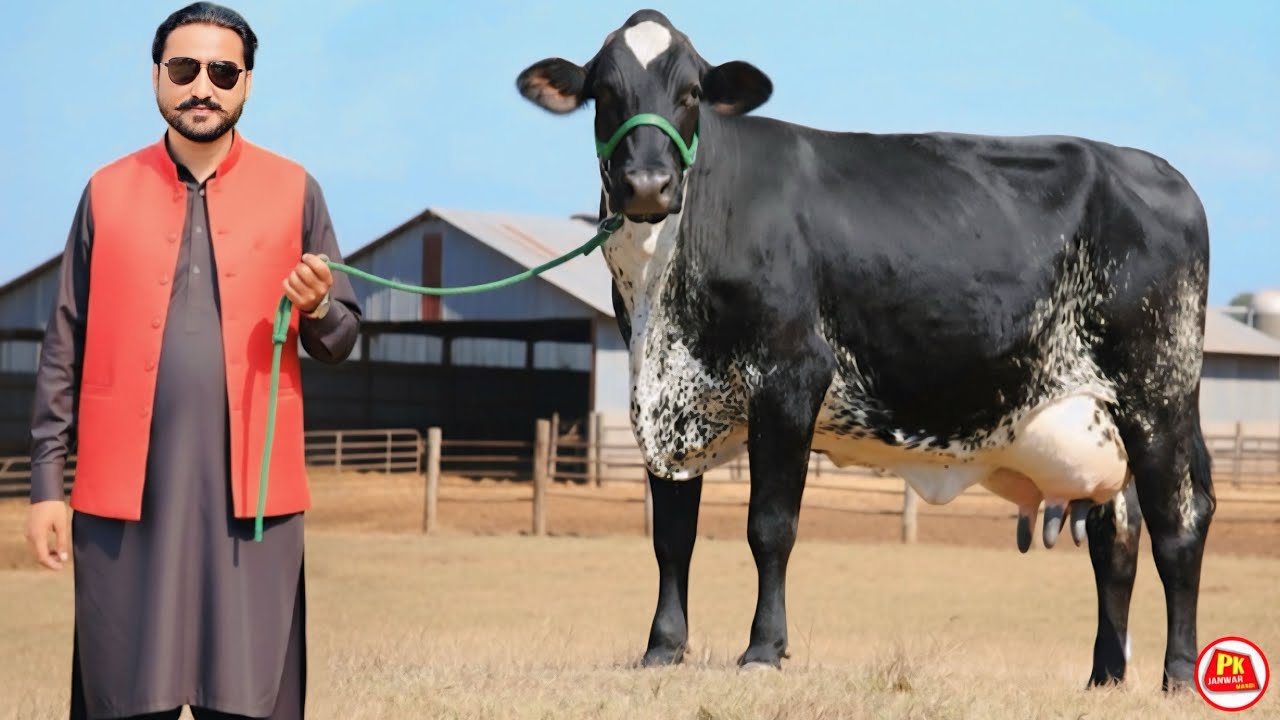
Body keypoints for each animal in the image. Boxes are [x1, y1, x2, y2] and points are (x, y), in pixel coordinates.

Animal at [515, 9, 1214, 691]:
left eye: (690, 92)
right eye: (605, 93)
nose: (646, 184)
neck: (663, 292)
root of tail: (1163, 174)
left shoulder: (791, 377)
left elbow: (770, 526)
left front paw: (764, 648)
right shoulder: (668, 398)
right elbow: (671, 534)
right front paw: (663, 647)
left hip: (1159, 392)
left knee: (1178, 522)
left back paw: (1179, 673)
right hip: (1109, 416)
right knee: (1115, 534)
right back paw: (1105, 675)